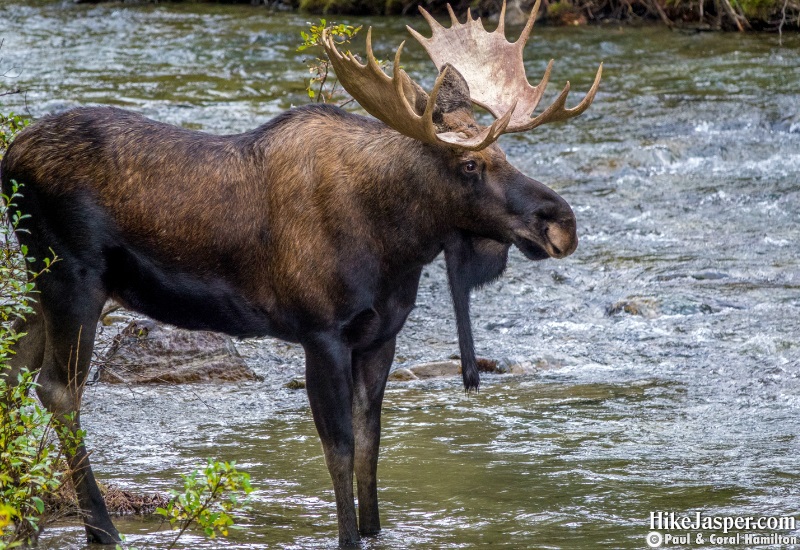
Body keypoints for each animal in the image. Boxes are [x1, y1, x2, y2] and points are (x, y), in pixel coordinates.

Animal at [1, 2, 600, 548]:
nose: (561, 222)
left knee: (14, 366)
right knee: (57, 388)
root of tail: (11, 157)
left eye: (504, 151)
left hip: (44, 282)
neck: (396, 244)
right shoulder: (321, 333)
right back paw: (101, 529)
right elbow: (339, 449)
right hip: (73, 277)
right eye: (471, 164)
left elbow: (370, 444)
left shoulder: (380, 336)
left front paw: (374, 530)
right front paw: (348, 537)